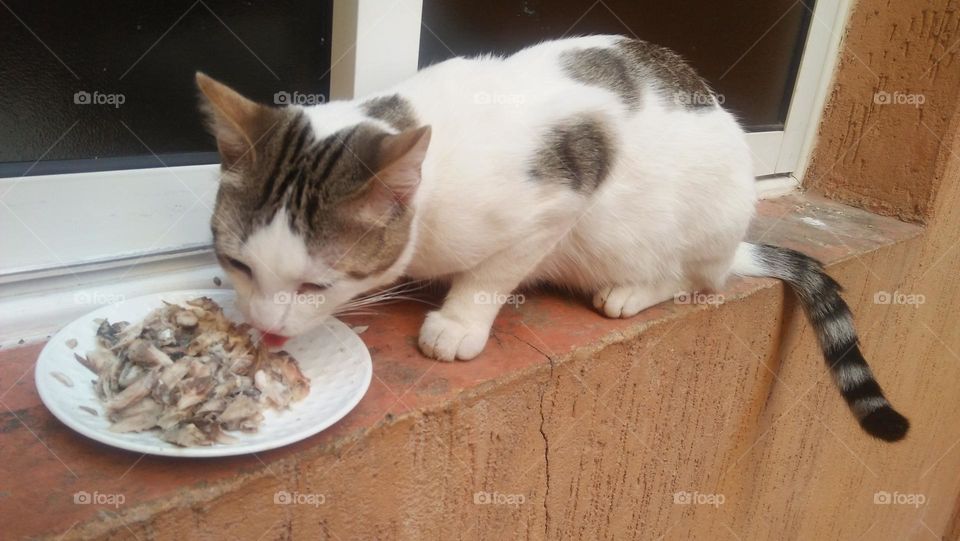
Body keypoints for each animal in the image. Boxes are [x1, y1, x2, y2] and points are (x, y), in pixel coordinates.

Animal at [197, 33, 908, 440]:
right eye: (238, 264)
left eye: (316, 284)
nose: (267, 331)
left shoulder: (565, 187)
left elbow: (492, 273)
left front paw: (459, 322)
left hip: (707, 216)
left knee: (700, 278)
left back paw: (632, 290)